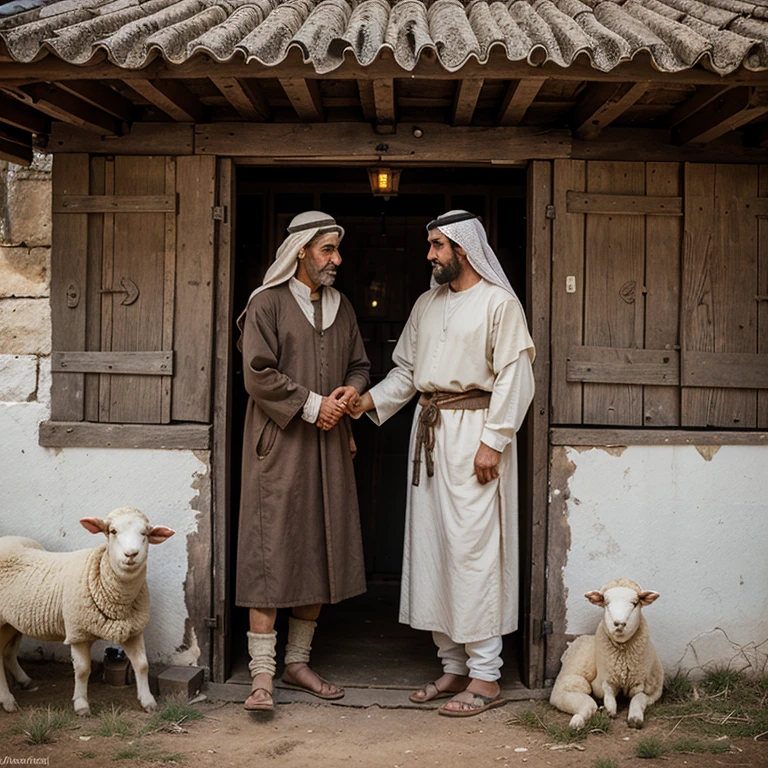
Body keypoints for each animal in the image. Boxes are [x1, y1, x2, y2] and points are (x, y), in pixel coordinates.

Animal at [0, 508, 174, 716]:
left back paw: (24, 682)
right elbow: (83, 670)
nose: (131, 554)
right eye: (113, 531)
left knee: (7, 654)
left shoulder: (133, 629)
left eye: (145, 533)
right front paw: (81, 704)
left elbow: (142, 665)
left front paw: (148, 701)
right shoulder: (78, 632)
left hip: (11, 622)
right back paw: (7, 700)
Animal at [548, 580, 664, 728]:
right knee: (582, 699)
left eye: (634, 603)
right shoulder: (603, 681)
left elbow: (638, 698)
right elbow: (607, 689)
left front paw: (635, 718)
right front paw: (610, 709)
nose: (619, 623)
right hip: (571, 677)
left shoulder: (652, 690)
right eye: (606, 602)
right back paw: (577, 721)